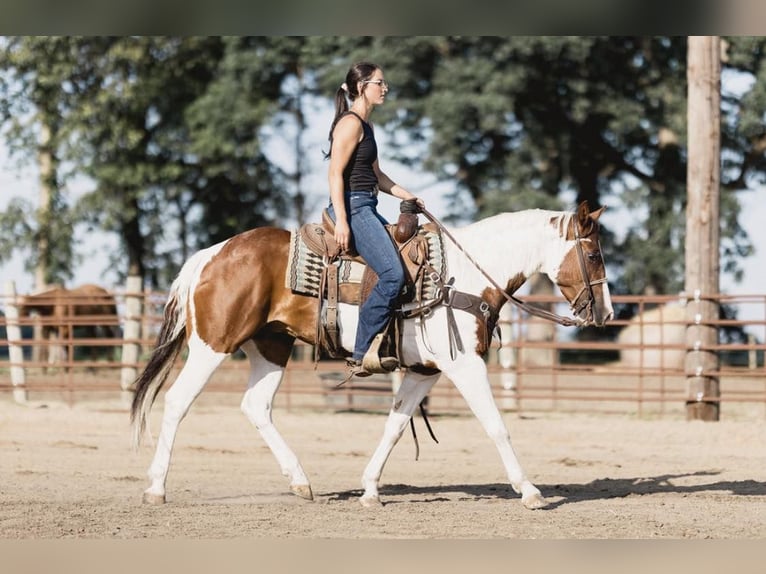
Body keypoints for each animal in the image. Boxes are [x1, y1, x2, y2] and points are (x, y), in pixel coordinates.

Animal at [129, 201, 616, 508]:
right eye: (593, 254)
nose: (606, 313)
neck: (461, 278)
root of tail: (212, 254)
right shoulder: (464, 365)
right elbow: (497, 426)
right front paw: (529, 490)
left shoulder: (423, 372)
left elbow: (395, 427)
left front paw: (369, 490)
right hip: (213, 345)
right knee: (177, 402)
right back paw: (155, 488)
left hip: (270, 346)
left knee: (257, 407)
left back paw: (301, 482)